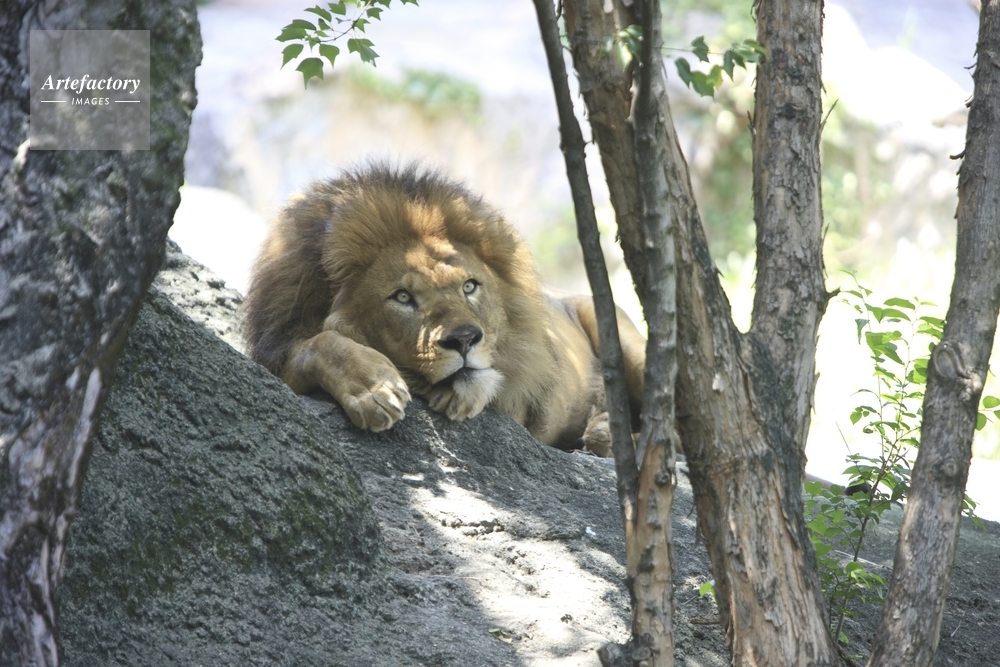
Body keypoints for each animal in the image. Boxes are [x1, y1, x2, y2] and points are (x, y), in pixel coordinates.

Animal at [242, 164, 647, 456]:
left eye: (469, 287)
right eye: (403, 297)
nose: (465, 339)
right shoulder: (278, 351)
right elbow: (320, 343)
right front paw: (373, 388)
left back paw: (605, 434)